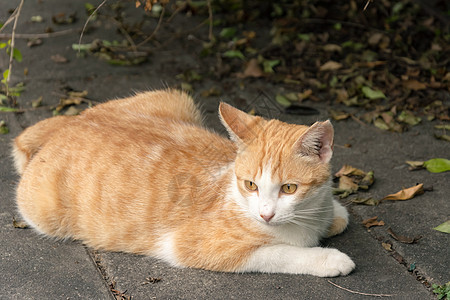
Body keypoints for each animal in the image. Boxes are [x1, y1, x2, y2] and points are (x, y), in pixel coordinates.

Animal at [12, 88, 356, 276]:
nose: (266, 214)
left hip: (177, 99)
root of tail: (70, 122)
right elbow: (278, 252)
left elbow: (336, 216)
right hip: (43, 212)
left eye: (289, 188)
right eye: (251, 185)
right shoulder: (195, 246)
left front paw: (335, 214)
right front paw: (327, 258)